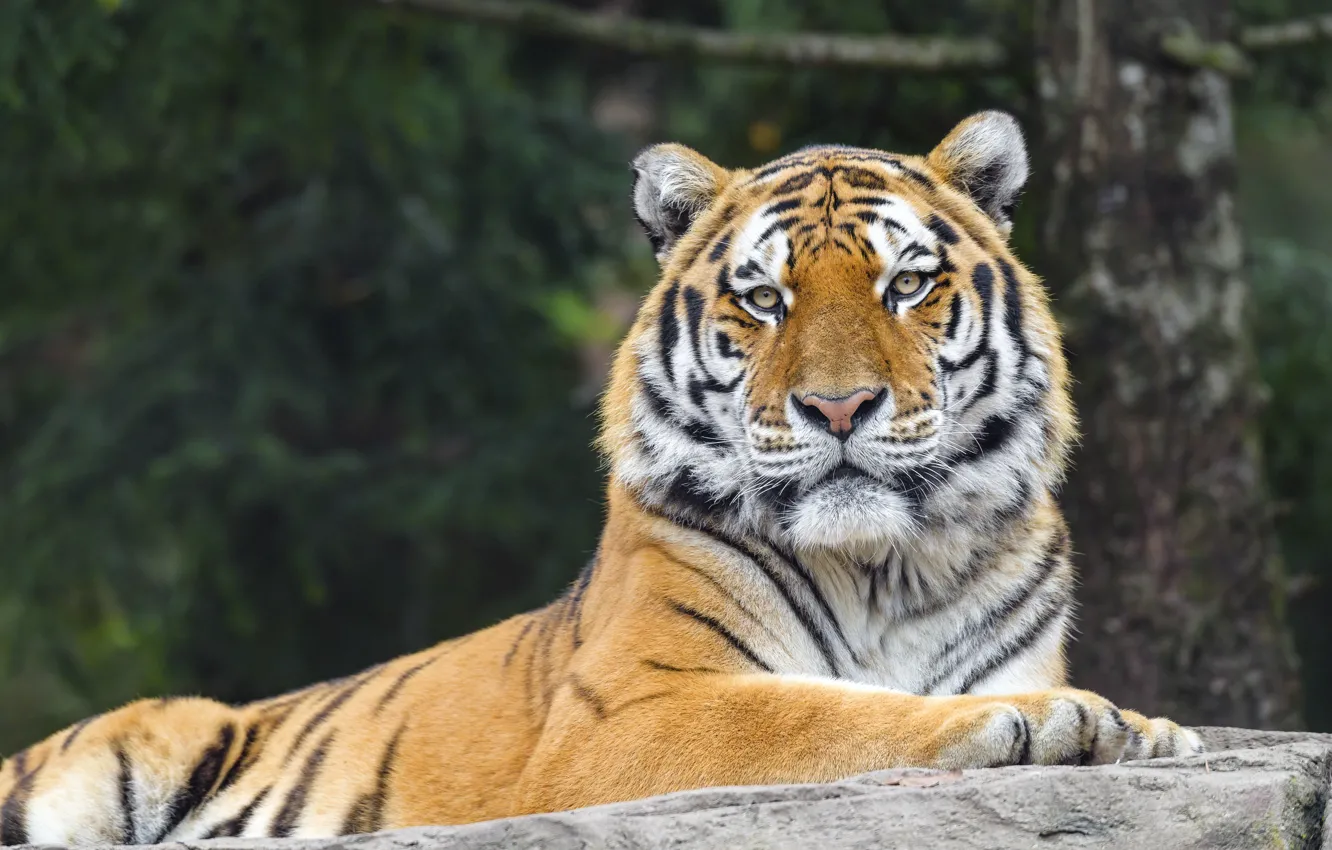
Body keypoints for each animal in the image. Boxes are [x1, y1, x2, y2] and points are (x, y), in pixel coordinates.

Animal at [0, 111, 1203, 845]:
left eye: (906, 285)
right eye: (763, 299)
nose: (838, 408)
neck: (883, 567)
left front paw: (1142, 730)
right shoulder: (630, 712)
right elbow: (823, 712)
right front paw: (1066, 722)